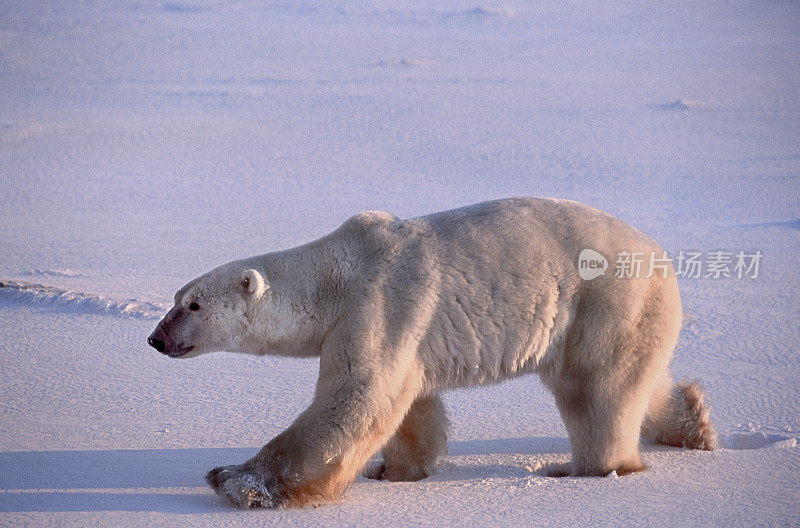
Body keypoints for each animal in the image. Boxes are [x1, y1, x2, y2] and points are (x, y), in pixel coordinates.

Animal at [147, 197, 716, 508]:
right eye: (176, 298)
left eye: (192, 305)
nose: (155, 338)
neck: (336, 275)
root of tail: (661, 258)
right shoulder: (401, 331)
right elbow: (409, 403)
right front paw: (396, 472)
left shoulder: (379, 303)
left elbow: (357, 397)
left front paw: (236, 481)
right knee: (637, 378)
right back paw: (695, 424)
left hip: (602, 302)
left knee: (596, 390)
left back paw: (585, 471)